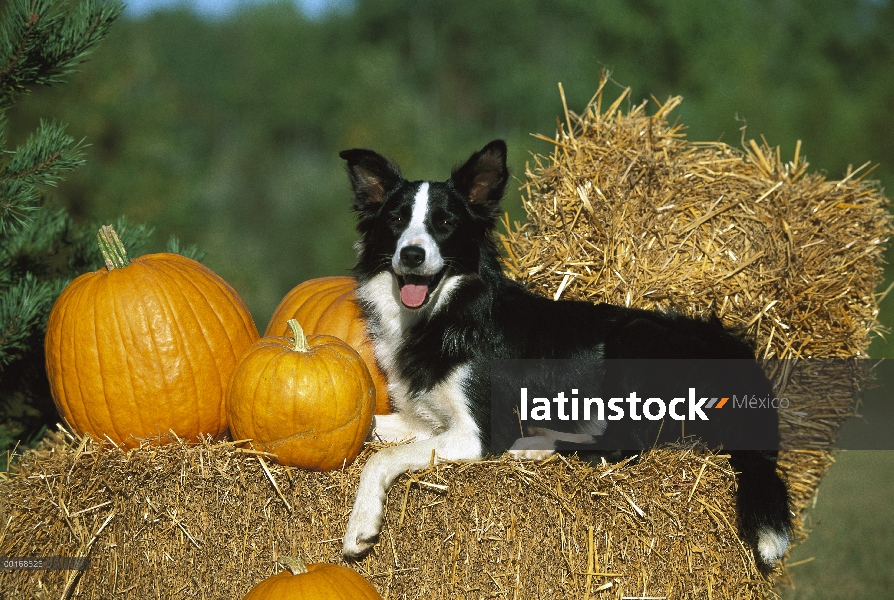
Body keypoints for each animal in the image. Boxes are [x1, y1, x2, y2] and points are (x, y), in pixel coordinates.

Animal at [342, 139, 792, 568]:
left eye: (445, 223)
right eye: (396, 220)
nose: (411, 255)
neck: (447, 314)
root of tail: (737, 352)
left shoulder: (478, 433)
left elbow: (383, 458)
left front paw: (360, 525)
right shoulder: (425, 421)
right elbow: (370, 428)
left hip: (636, 338)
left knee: (623, 446)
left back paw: (535, 444)